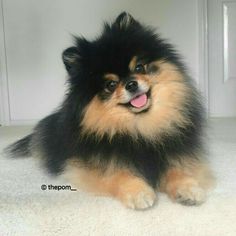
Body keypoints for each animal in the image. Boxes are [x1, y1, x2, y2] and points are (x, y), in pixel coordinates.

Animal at [6, 12, 214, 209]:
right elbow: (119, 174)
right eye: (111, 85)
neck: (140, 127)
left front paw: (188, 188)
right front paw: (139, 192)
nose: (131, 84)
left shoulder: (176, 154)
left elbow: (178, 169)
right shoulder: (88, 166)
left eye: (139, 67)